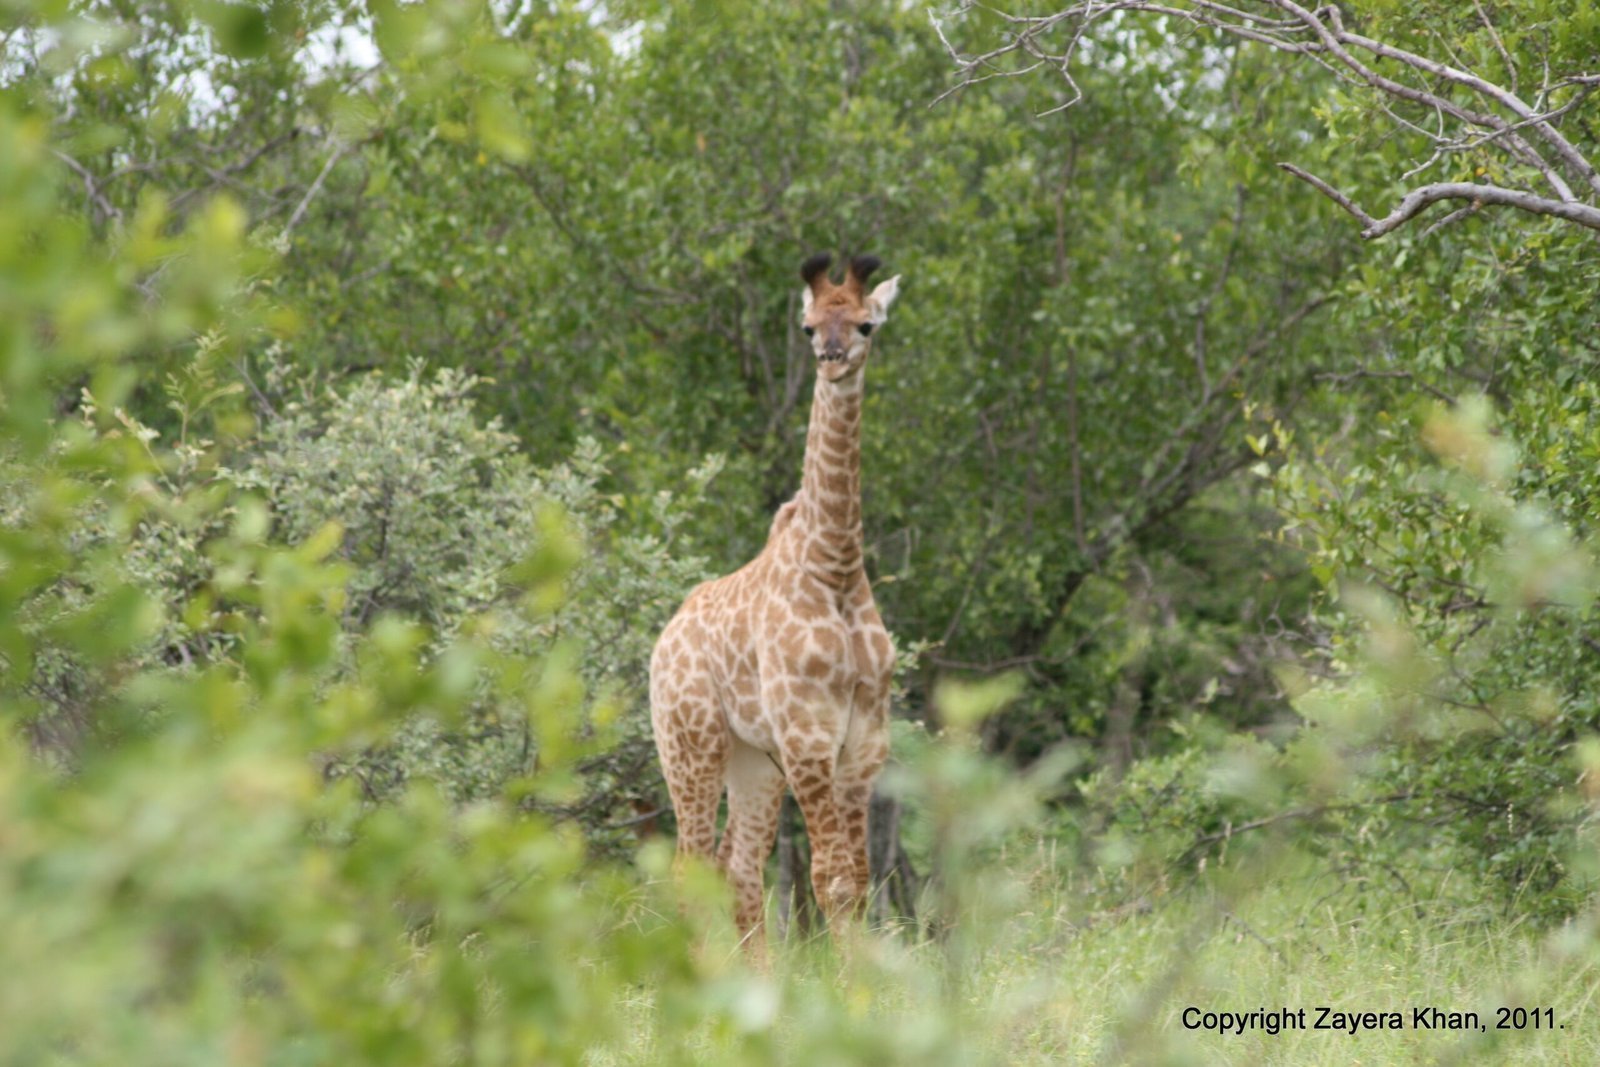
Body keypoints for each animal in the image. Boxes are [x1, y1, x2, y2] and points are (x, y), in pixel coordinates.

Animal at [650, 252, 902, 951]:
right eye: (811, 326)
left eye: (867, 324)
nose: (833, 360)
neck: (834, 566)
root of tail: (663, 639)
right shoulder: (806, 736)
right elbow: (832, 879)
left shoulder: (864, 740)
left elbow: (858, 878)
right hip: (691, 745)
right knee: (689, 869)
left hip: (751, 762)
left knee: (735, 866)